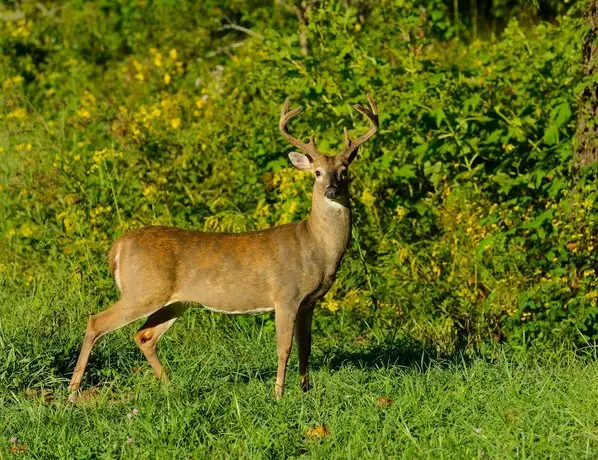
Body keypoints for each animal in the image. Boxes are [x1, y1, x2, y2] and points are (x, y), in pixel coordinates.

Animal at [68, 93, 380, 398]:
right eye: (316, 172)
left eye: (344, 171)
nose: (331, 190)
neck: (315, 246)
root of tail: (118, 247)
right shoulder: (286, 295)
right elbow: (284, 348)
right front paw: (279, 395)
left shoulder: (309, 302)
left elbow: (306, 348)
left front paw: (305, 392)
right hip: (143, 290)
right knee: (96, 322)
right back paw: (73, 393)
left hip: (175, 301)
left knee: (144, 336)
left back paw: (171, 387)